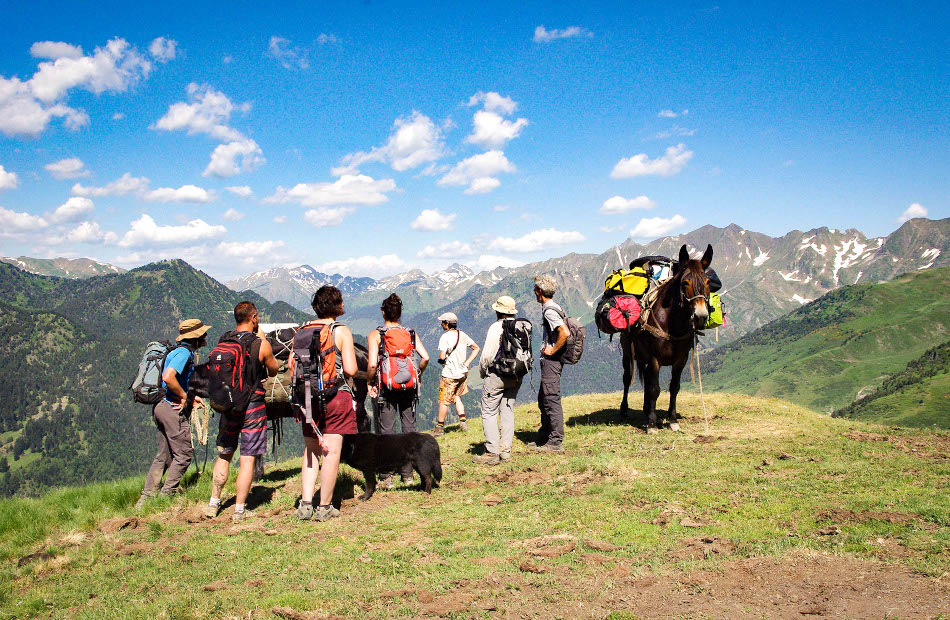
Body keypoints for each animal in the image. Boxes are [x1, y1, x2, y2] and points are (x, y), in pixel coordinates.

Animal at [616, 242, 712, 432]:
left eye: (708, 282)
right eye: (685, 282)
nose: (701, 316)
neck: (672, 324)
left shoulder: (680, 360)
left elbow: (674, 388)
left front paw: (672, 420)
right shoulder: (655, 359)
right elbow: (655, 389)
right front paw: (652, 424)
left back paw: (646, 409)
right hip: (628, 354)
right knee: (627, 378)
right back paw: (625, 410)